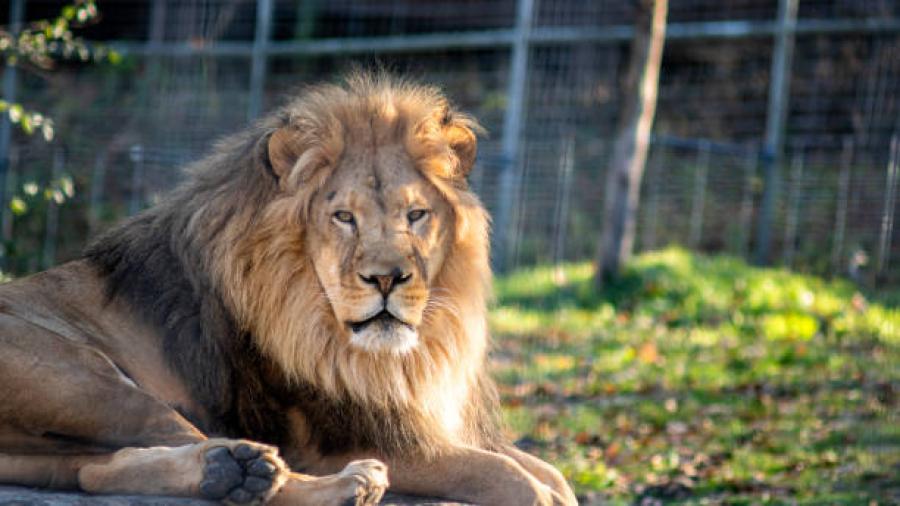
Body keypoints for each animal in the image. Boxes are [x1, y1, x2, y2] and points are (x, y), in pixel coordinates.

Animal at [0, 72, 576, 506]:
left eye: (416, 215)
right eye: (343, 217)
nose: (386, 278)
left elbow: (549, 474)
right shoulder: (337, 437)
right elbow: (513, 479)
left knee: (97, 470)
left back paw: (228, 472)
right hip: (91, 382)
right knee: (255, 467)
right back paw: (333, 481)